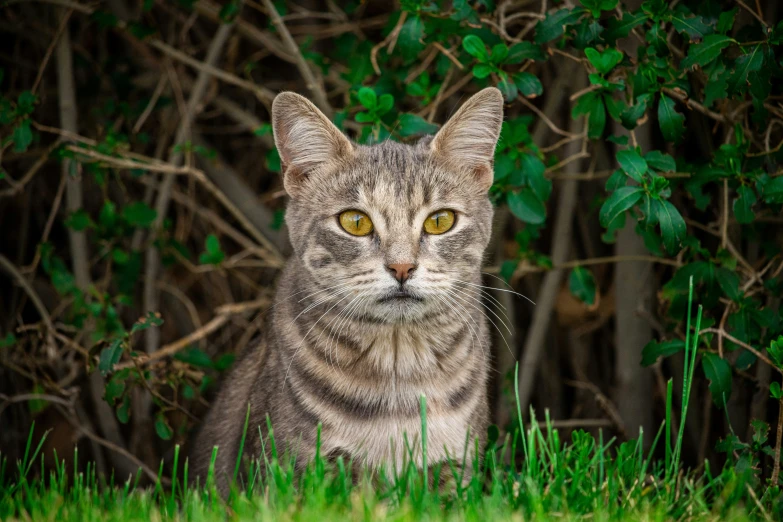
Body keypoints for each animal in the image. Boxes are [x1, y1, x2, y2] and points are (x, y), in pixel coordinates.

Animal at [193, 86, 506, 492]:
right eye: (355, 222)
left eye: (441, 221)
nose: (402, 267)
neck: (399, 369)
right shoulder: (290, 468)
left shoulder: (456, 465)